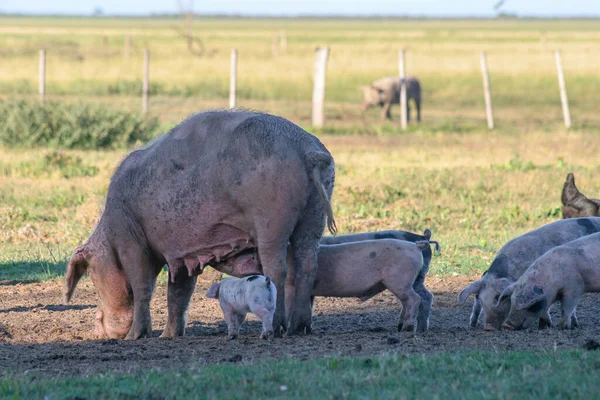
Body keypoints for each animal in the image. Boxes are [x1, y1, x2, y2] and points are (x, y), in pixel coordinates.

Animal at [66, 110, 340, 340]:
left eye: (92, 273)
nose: (98, 329)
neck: (109, 233)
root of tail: (306, 150)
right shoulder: (184, 256)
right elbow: (178, 293)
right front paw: (168, 337)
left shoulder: (131, 241)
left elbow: (142, 286)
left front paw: (135, 337)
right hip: (314, 215)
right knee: (307, 264)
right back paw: (300, 328)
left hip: (271, 219)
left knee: (277, 269)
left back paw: (277, 329)